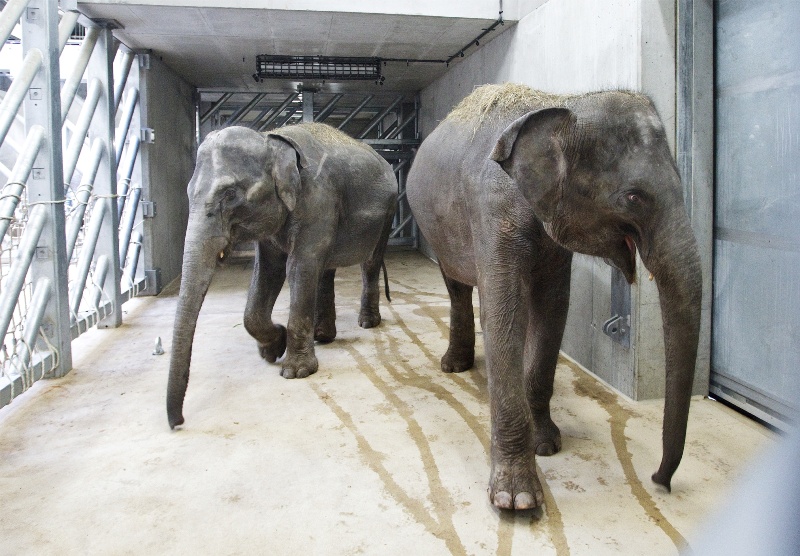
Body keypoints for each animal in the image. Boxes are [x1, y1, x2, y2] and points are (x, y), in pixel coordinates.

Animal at [167, 121, 398, 428]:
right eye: (189, 191)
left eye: (229, 193)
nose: (177, 422)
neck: (271, 140)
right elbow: (269, 269)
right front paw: (274, 346)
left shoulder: (319, 202)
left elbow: (299, 267)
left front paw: (295, 371)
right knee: (325, 269)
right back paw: (322, 336)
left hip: (388, 212)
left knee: (369, 263)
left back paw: (367, 323)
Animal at [406, 80, 700, 510]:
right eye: (633, 197)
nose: (659, 480)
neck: (560, 104)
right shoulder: (492, 209)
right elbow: (504, 313)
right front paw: (517, 498)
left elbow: (552, 308)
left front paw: (546, 443)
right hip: (435, 227)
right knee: (456, 285)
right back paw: (454, 367)